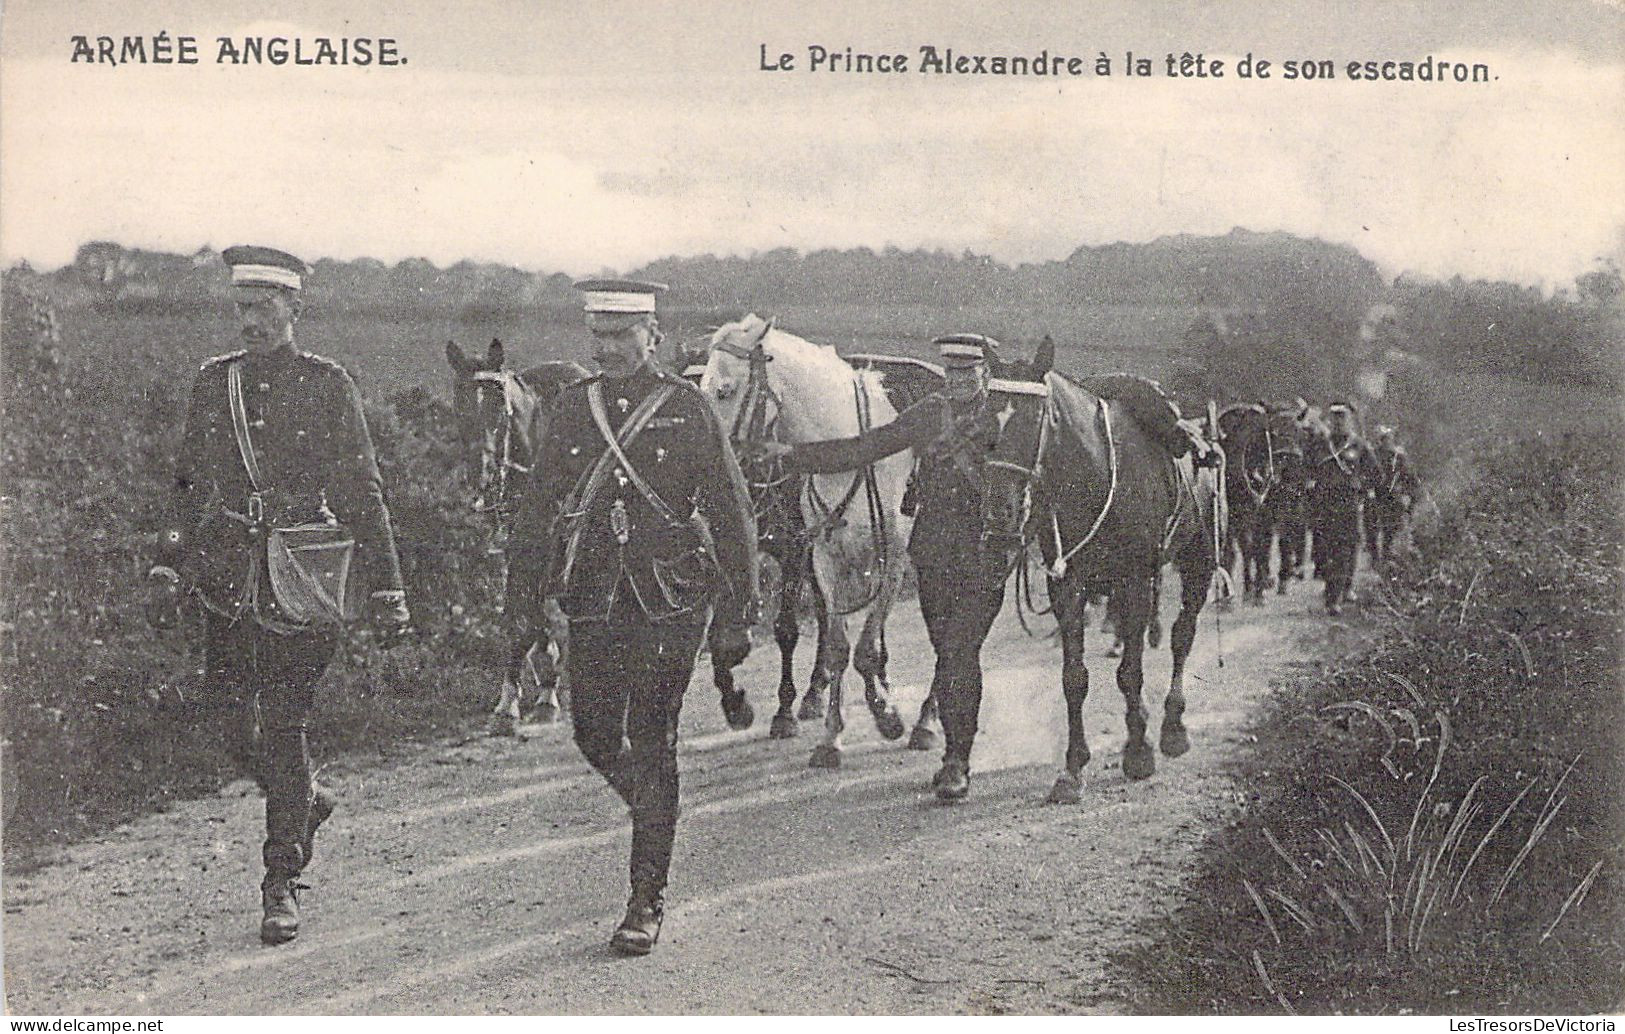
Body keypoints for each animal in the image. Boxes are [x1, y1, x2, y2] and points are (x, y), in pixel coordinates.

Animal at [698, 315, 923, 767]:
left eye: (725, 390)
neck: (851, 452)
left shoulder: (889, 559)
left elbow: (860, 644)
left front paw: (885, 712)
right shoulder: (822, 557)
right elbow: (836, 645)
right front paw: (829, 736)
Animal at [975, 369, 1222, 799]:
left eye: (1033, 420)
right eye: (988, 417)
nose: (1000, 523)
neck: (1094, 475)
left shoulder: (1134, 581)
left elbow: (1131, 673)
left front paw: (1139, 752)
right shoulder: (1067, 588)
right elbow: (1074, 678)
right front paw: (1073, 768)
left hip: (1199, 562)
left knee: (1182, 635)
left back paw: (1173, 727)